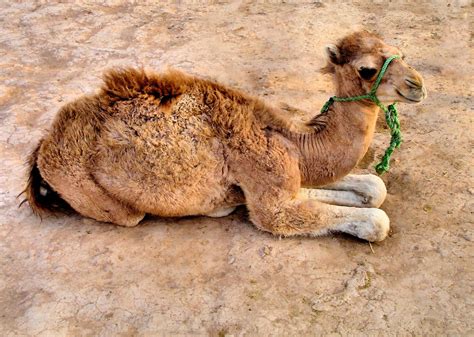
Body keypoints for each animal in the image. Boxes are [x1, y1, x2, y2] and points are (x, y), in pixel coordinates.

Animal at [24, 31, 428, 240]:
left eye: (402, 52)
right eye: (367, 69)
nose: (417, 84)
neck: (293, 145)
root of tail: (45, 145)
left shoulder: (283, 176)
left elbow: (374, 187)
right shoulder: (268, 191)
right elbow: (375, 221)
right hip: (92, 192)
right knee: (128, 215)